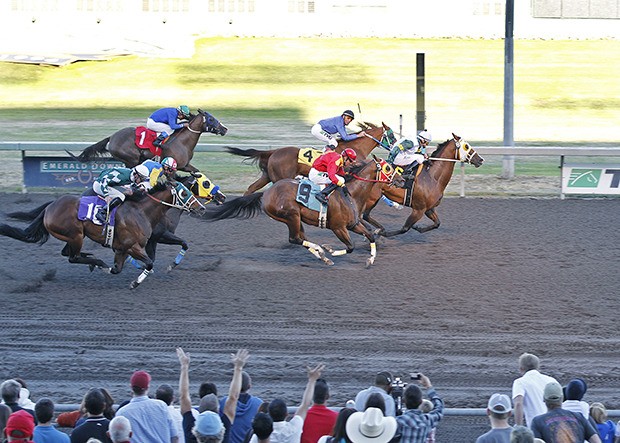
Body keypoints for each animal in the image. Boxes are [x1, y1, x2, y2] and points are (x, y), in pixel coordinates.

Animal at [0, 180, 206, 288]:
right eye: (184, 193)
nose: (202, 208)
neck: (141, 212)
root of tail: (50, 206)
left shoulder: (122, 249)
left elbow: (118, 269)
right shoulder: (132, 246)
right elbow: (149, 262)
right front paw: (135, 282)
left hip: (75, 235)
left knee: (68, 253)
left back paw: (93, 262)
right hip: (75, 235)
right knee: (72, 257)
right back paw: (97, 262)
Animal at [68, 109, 228, 173]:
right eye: (211, 119)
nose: (225, 129)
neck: (183, 142)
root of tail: (112, 137)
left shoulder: (185, 165)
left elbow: (197, 173)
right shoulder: (175, 165)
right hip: (131, 159)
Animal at [203, 156, 404, 268]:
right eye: (388, 168)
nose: (402, 180)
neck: (351, 194)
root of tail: (266, 193)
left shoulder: (353, 224)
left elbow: (369, 236)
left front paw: (370, 260)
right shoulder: (338, 227)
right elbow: (350, 246)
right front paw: (331, 249)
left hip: (296, 218)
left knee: (300, 238)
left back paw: (322, 256)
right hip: (291, 215)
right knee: (295, 239)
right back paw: (322, 251)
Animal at [225, 123, 394, 196]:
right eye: (391, 135)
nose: (394, 148)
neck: (355, 147)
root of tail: (274, 151)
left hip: (267, 175)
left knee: (251, 188)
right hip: (280, 176)